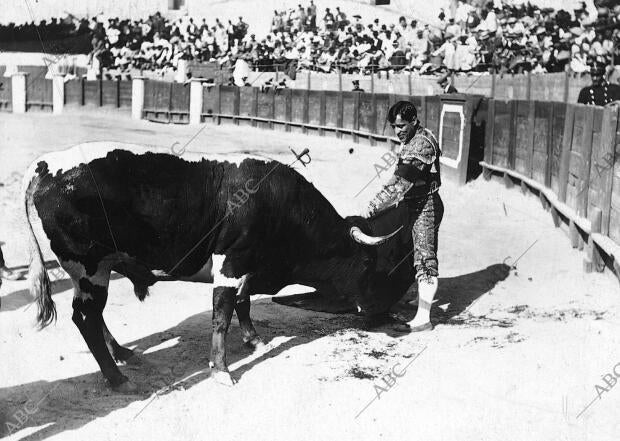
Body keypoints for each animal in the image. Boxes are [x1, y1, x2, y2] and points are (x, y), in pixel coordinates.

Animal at [23, 143, 412, 390]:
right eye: (372, 265)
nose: (395, 317)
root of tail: (44, 166)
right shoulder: (231, 264)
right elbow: (221, 316)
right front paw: (222, 371)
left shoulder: (245, 269)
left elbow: (243, 303)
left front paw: (255, 341)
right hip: (88, 268)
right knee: (85, 317)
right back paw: (117, 378)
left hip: (98, 270)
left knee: (95, 315)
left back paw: (122, 354)